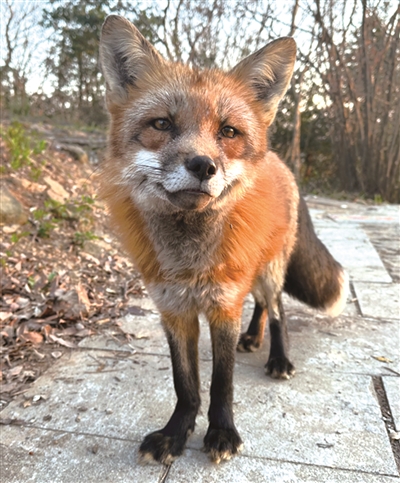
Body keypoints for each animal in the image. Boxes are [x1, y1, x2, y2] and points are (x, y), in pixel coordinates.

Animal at [98, 16, 348, 466]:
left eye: (227, 131)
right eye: (161, 124)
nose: (203, 165)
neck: (189, 260)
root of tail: (281, 162)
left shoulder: (223, 304)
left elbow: (221, 382)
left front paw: (221, 433)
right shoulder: (174, 309)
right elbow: (186, 384)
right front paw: (176, 434)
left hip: (268, 270)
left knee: (277, 308)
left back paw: (278, 356)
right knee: (263, 307)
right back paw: (254, 337)